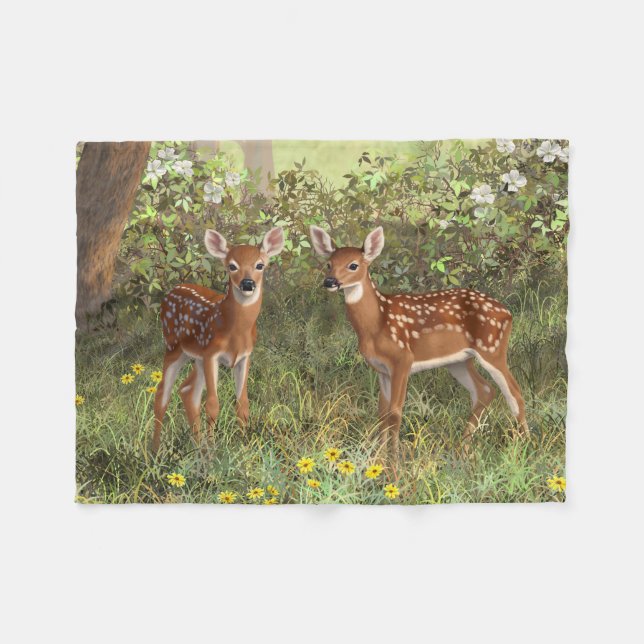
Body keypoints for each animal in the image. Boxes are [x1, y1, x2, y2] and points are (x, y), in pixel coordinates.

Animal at [151, 227, 285, 453]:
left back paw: (197, 447)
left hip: (196, 357)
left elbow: (243, 403)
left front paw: (244, 444)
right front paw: (214, 449)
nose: (247, 283)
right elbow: (212, 404)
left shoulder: (244, 357)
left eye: (260, 265)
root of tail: (171, 292)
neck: (235, 332)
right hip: (173, 347)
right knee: (162, 393)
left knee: (187, 391)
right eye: (232, 266)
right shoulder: (211, 354)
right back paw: (154, 451)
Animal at [310, 225, 529, 469]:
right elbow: (382, 414)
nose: (329, 281)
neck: (377, 324)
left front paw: (393, 463)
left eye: (353, 265)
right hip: (460, 360)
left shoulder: (402, 359)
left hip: (492, 348)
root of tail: (508, 313)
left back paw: (525, 447)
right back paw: (462, 451)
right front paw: (377, 460)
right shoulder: (381, 369)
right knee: (484, 390)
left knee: (515, 392)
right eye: (329, 264)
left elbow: (395, 413)